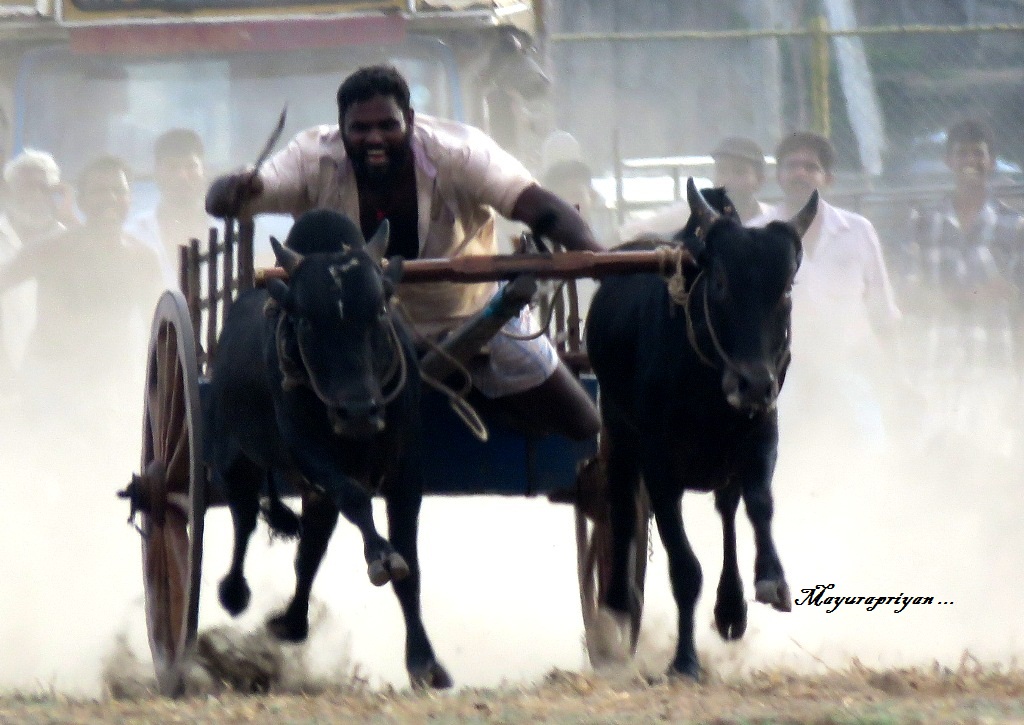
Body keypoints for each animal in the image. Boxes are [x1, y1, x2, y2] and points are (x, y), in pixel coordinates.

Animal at [205, 206, 450, 688]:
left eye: (378, 311)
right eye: (305, 320)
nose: (357, 412)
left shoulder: (405, 473)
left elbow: (408, 565)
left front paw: (424, 661)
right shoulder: (311, 457)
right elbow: (356, 501)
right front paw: (379, 557)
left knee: (309, 552)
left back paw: (292, 623)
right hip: (234, 459)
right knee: (244, 519)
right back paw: (235, 592)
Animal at [585, 181, 815, 679]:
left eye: (786, 287)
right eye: (722, 283)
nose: (753, 383)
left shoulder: (762, 434)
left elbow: (760, 504)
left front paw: (772, 579)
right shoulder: (659, 468)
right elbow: (685, 570)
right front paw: (685, 661)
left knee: (728, 507)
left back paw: (731, 608)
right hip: (618, 432)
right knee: (621, 511)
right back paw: (615, 610)